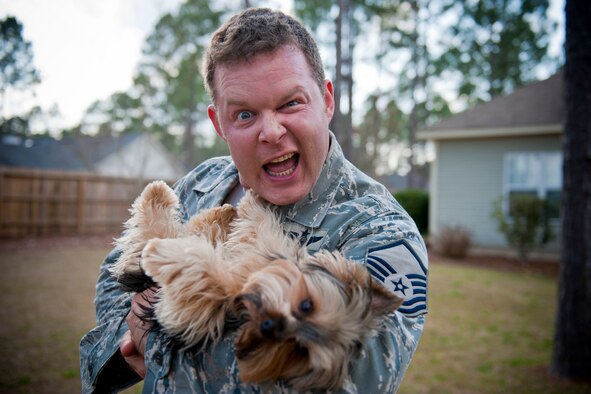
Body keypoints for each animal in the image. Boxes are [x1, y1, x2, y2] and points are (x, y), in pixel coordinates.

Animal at [112, 182, 402, 390]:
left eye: (299, 349)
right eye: (307, 305)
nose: (271, 326)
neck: (248, 287)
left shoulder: (189, 313)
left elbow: (201, 273)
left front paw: (162, 253)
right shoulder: (261, 247)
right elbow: (255, 225)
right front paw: (250, 200)